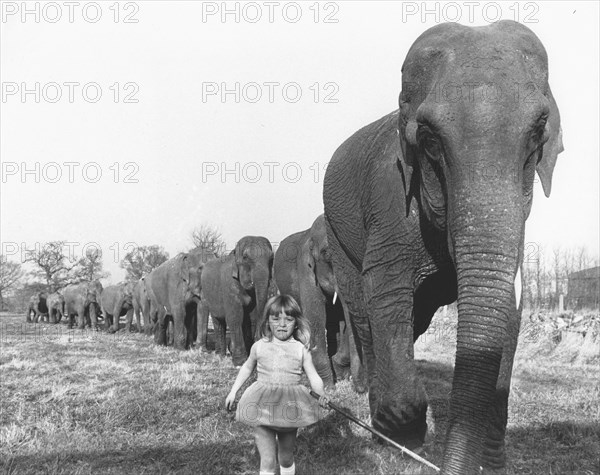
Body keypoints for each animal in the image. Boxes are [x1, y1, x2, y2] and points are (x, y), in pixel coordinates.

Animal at [199, 236, 274, 366]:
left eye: (271, 259)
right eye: (245, 257)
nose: (259, 338)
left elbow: (252, 318)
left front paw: (249, 357)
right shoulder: (229, 284)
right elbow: (235, 317)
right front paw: (240, 362)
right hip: (210, 297)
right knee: (218, 322)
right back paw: (220, 356)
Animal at [274, 217, 366, 394]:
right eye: (328, 254)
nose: (362, 390)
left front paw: (340, 374)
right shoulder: (305, 268)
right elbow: (315, 315)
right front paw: (326, 389)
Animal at [324, 20, 564, 474]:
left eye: (537, 133)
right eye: (430, 139)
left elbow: (506, 312)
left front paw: (491, 461)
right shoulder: (389, 202)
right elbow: (384, 292)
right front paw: (401, 439)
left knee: (413, 320)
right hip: (335, 234)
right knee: (364, 313)